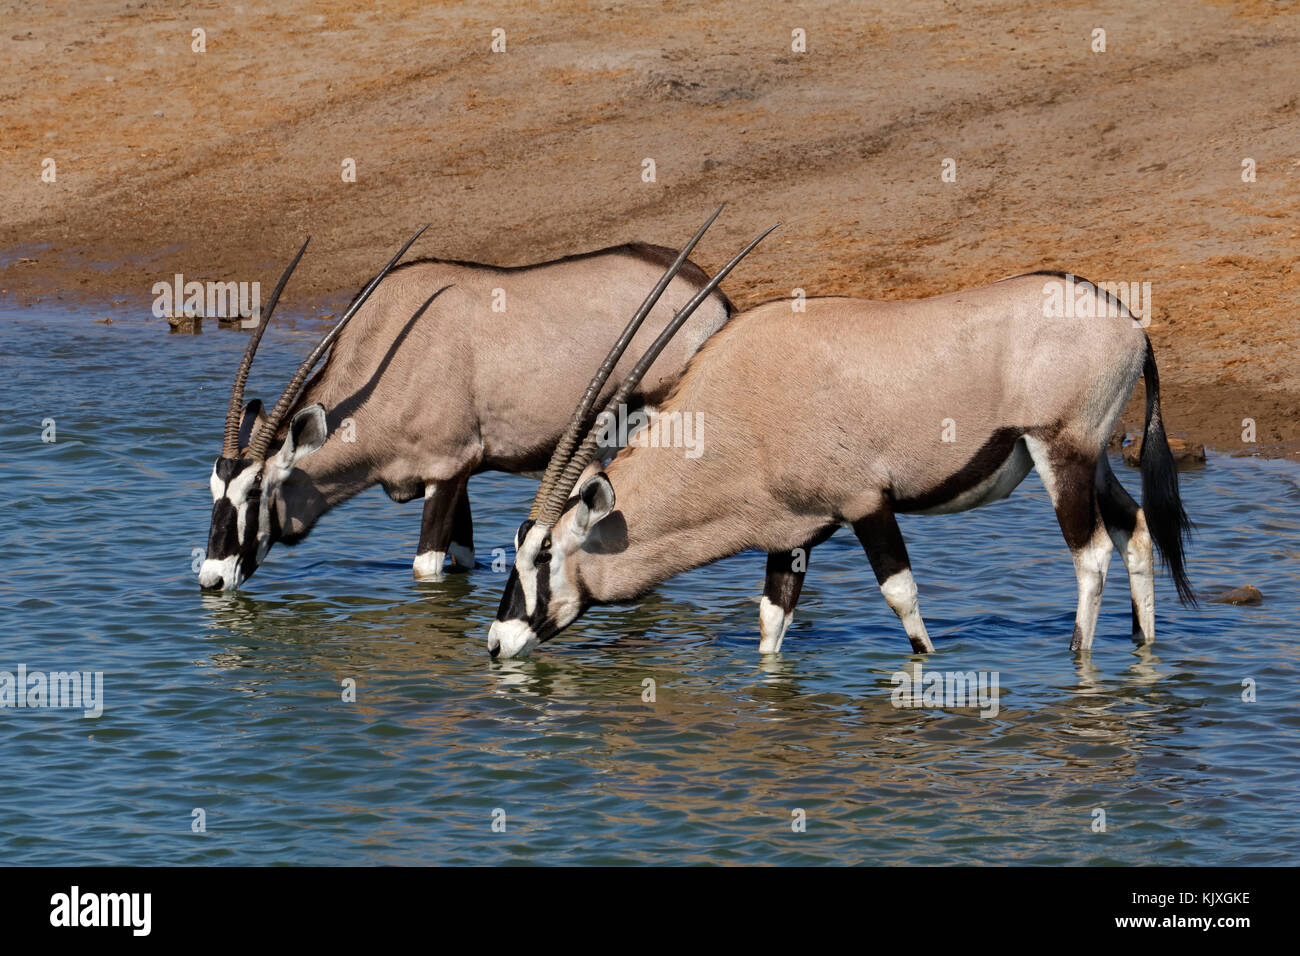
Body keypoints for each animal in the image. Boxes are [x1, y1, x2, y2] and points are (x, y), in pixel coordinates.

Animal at [197, 217, 738, 590]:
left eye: (254, 491)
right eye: (215, 489)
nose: (211, 579)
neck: (388, 349)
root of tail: (713, 298)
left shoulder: (447, 467)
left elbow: (425, 567)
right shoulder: (459, 478)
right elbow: (461, 559)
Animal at [488, 257, 1196, 658]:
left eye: (544, 556)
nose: (496, 643)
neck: (743, 406)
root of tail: (1127, 319)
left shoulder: (866, 506)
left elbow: (902, 597)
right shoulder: (791, 535)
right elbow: (771, 623)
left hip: (1061, 452)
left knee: (1091, 554)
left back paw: (1079, 661)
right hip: (1093, 457)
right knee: (1134, 531)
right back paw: (1144, 650)